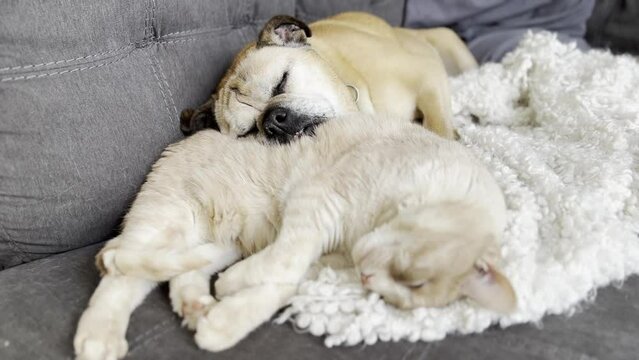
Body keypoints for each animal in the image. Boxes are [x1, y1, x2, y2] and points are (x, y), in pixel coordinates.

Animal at [74, 113, 516, 360]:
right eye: (409, 276)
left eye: (394, 295)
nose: (367, 276)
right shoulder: (317, 202)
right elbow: (283, 263)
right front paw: (231, 291)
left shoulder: (316, 262)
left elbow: (279, 284)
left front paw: (225, 322)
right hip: (170, 219)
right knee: (121, 276)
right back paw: (100, 335)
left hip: (219, 243)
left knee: (178, 273)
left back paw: (197, 306)